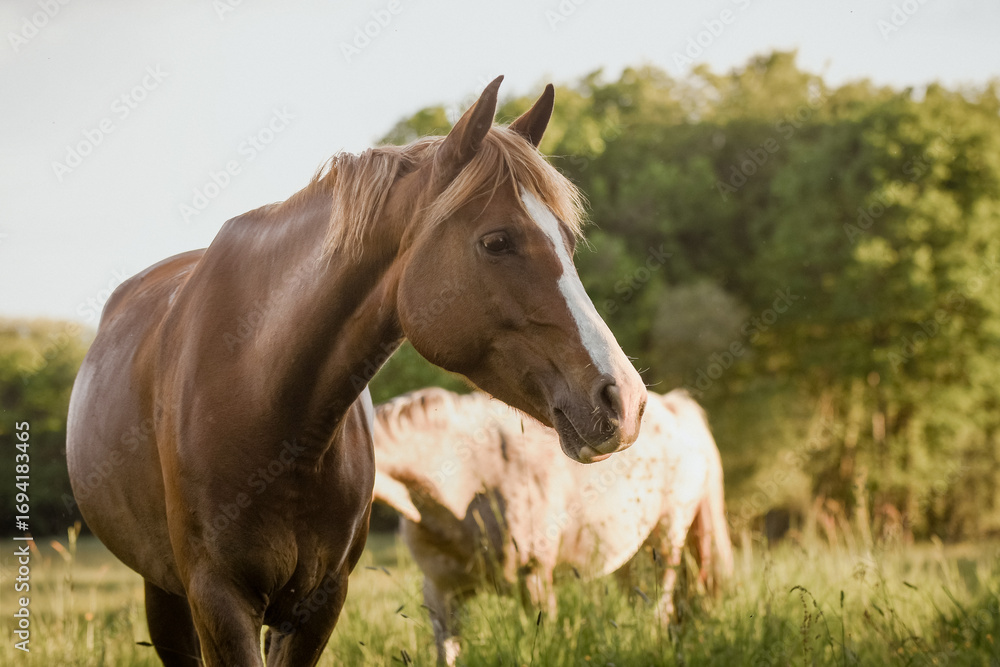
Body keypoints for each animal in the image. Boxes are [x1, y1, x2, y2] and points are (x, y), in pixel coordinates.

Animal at [65, 77, 647, 667]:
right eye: (496, 241)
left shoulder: (319, 602)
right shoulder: (218, 601)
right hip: (163, 591)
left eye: (568, 243)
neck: (260, 400)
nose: (624, 399)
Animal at [372, 388, 733, 665]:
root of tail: (675, 407)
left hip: (665, 544)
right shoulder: (440, 595)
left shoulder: (534, 580)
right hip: (631, 557)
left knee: (660, 610)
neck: (469, 477)